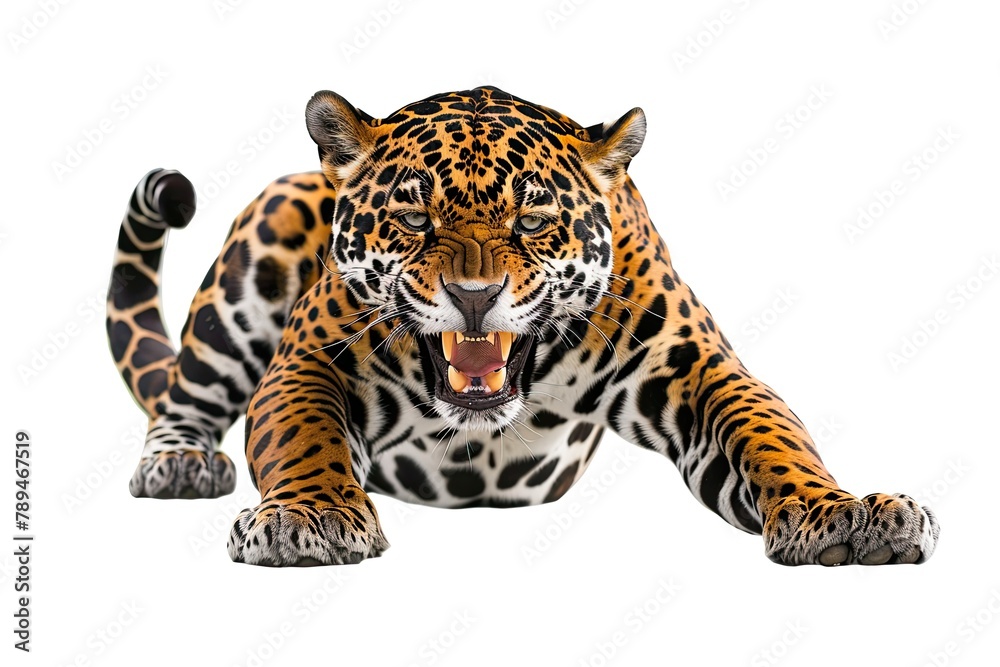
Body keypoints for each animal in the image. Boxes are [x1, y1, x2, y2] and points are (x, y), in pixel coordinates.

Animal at [106, 86, 939, 567]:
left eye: (533, 221)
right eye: (415, 218)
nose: (475, 295)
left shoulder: (698, 367)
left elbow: (771, 436)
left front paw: (843, 512)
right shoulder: (308, 361)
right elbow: (302, 437)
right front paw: (309, 516)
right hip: (255, 256)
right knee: (185, 392)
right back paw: (180, 463)